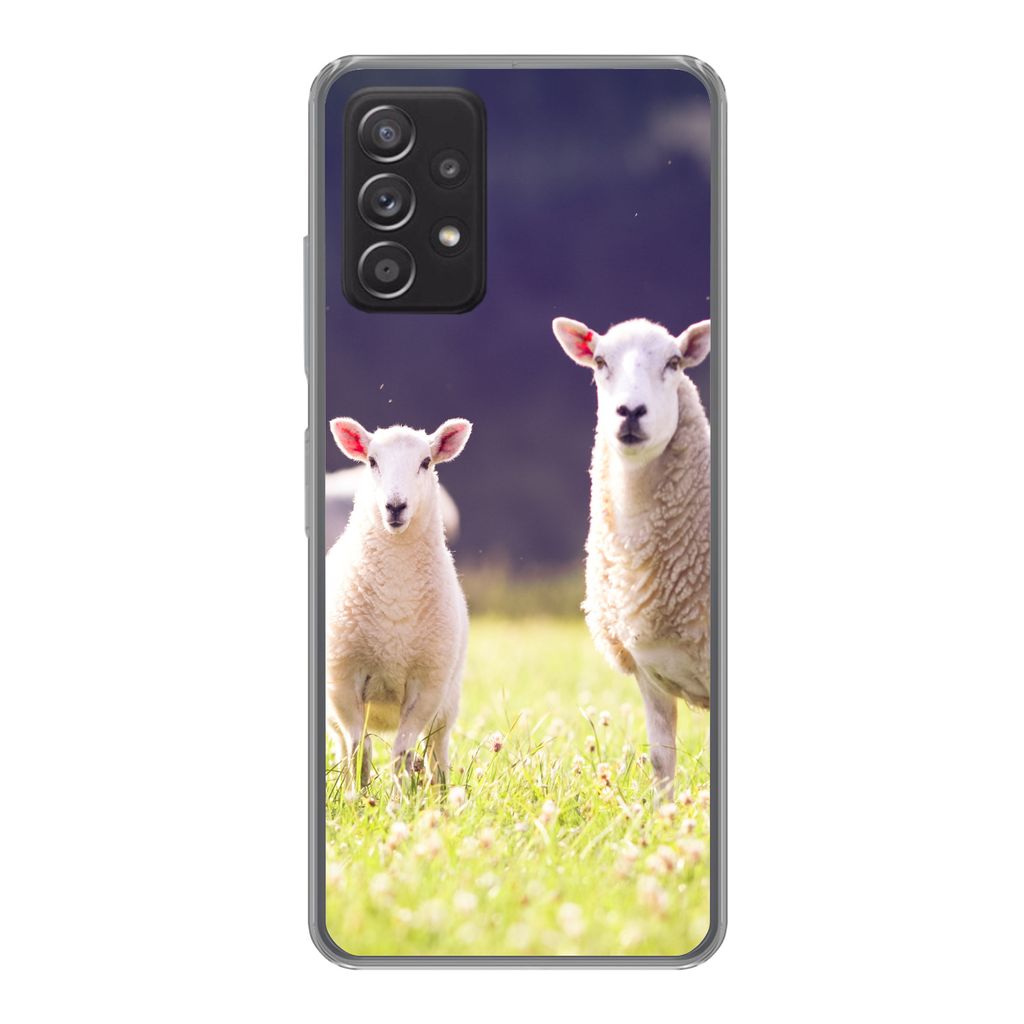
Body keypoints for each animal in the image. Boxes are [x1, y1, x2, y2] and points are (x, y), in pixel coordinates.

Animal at [325, 416, 472, 787]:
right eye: (372, 462)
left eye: (426, 462)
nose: (395, 506)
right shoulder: (342, 681)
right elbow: (359, 753)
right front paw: (356, 797)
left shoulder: (427, 687)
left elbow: (401, 756)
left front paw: (400, 797)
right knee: (343, 748)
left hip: (448, 703)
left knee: (437, 753)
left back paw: (442, 794)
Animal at [552, 315, 712, 795]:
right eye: (600, 361)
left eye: (674, 362)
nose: (630, 412)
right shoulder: (649, 671)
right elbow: (661, 763)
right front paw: (664, 814)